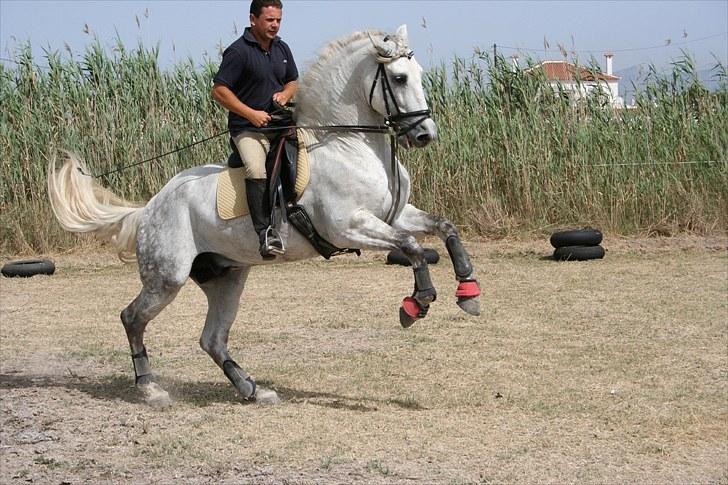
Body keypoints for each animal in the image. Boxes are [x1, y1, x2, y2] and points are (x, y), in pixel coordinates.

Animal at [48, 25, 480, 404]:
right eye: (400, 77)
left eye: (420, 74)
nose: (424, 135)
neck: (349, 144)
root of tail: (150, 207)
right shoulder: (348, 227)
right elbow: (411, 246)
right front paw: (417, 302)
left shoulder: (395, 215)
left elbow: (445, 229)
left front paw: (468, 292)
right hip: (167, 277)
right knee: (132, 318)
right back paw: (151, 389)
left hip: (227, 277)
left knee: (211, 338)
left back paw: (252, 389)